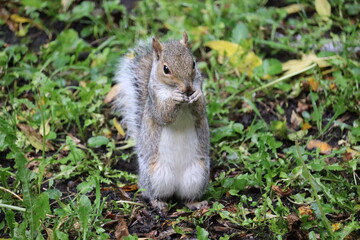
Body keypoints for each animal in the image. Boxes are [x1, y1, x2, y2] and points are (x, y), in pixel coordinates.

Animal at [114, 32, 210, 211]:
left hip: (197, 177)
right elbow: (164, 115)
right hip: (155, 177)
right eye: (166, 69)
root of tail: (175, 187)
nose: (187, 88)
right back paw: (158, 203)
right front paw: (175, 98)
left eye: (193, 64)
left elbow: (199, 111)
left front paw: (195, 96)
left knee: (186, 198)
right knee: (153, 195)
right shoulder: (155, 100)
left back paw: (195, 203)